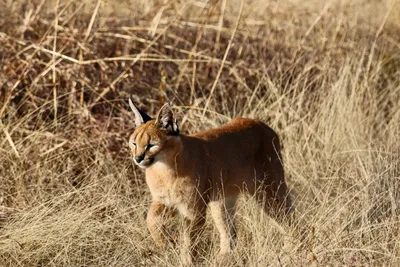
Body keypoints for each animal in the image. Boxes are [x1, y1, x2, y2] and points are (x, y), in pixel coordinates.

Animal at [128, 99, 290, 266]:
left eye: (151, 145)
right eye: (134, 143)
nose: (138, 158)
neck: (164, 169)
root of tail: (261, 124)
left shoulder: (193, 209)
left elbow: (190, 240)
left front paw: (187, 261)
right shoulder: (162, 200)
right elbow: (151, 220)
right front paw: (165, 243)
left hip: (268, 191)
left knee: (288, 217)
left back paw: (288, 251)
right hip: (222, 201)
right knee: (230, 233)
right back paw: (223, 258)